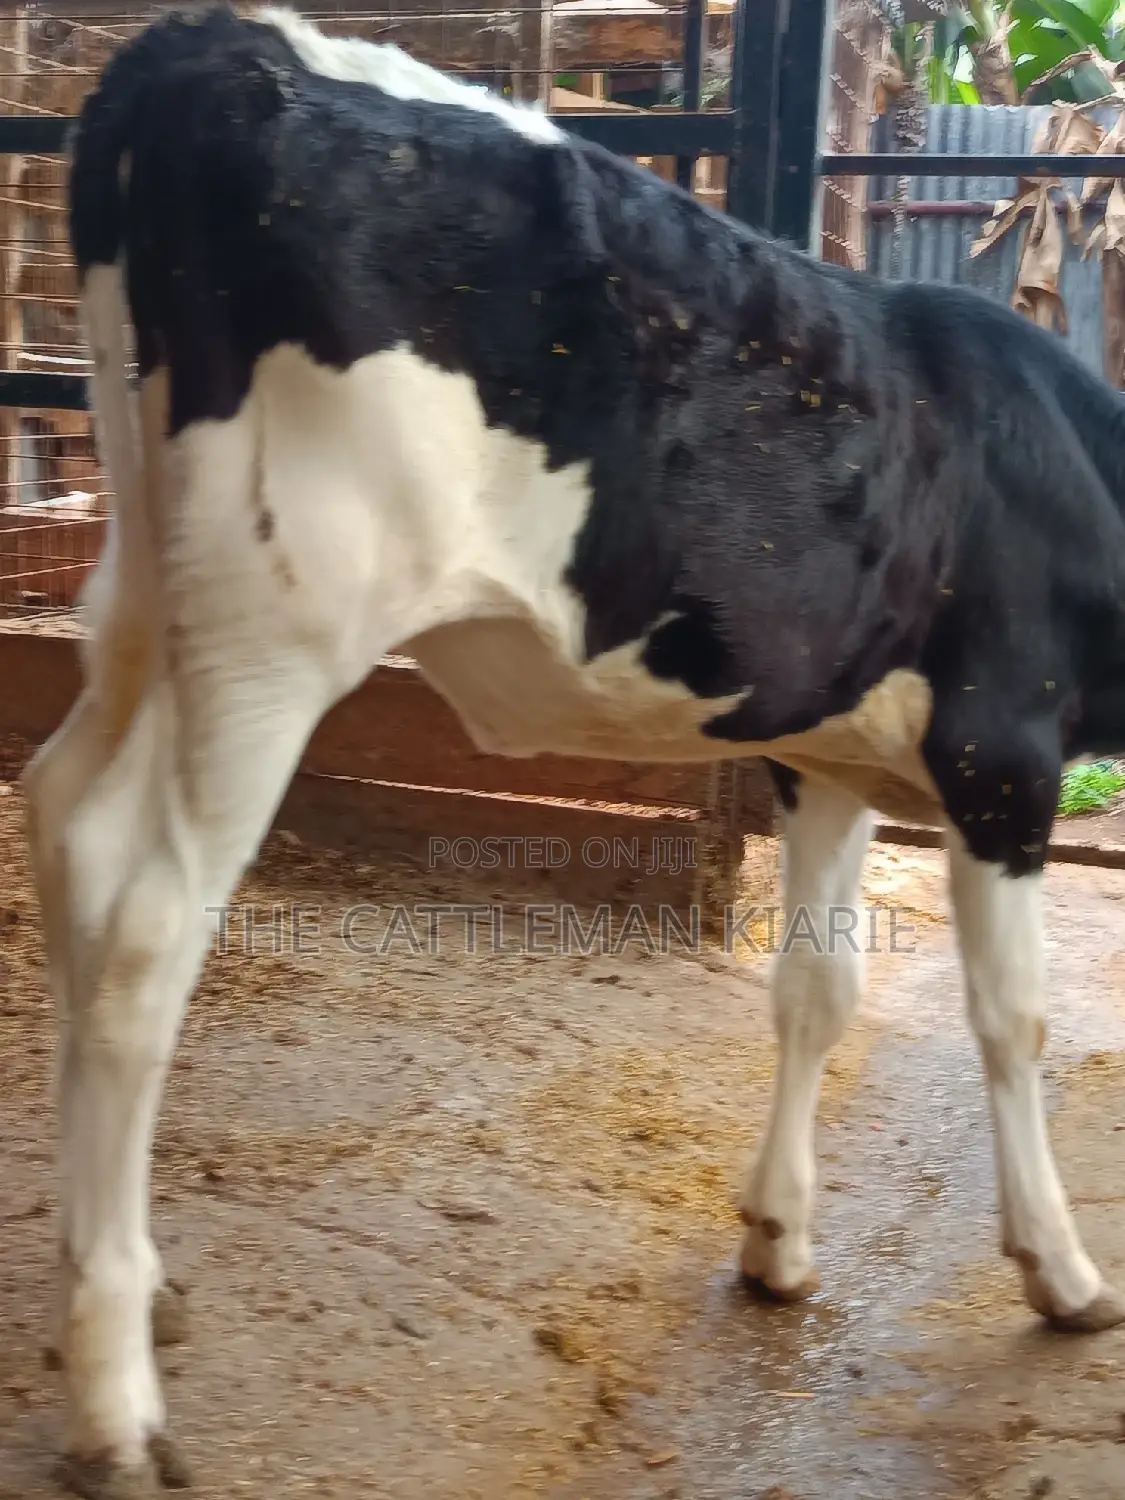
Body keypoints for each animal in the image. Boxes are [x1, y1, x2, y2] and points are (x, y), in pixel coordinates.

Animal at [23, 3, 1125, 1492]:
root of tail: (220, 42)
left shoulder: (823, 760)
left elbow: (816, 994)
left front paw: (780, 1241)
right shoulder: (1001, 750)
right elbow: (1012, 1018)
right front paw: (1060, 1271)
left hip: (144, 582)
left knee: (62, 816)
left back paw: (123, 1282)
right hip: (274, 627)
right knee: (144, 920)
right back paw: (119, 1401)